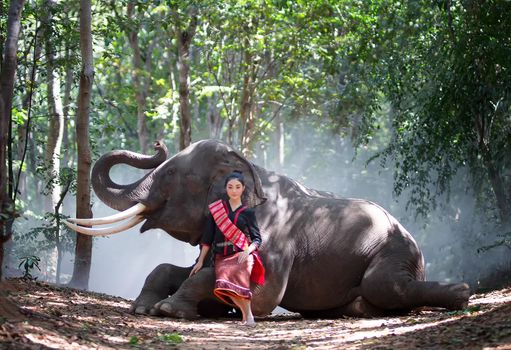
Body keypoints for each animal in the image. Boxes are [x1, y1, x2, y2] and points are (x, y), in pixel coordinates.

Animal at [66, 138, 474, 318]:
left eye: (168, 176)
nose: (158, 144)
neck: (248, 167)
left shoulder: (274, 236)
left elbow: (262, 294)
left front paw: (168, 309)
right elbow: (179, 268)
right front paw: (143, 308)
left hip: (394, 251)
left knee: (384, 285)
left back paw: (461, 292)